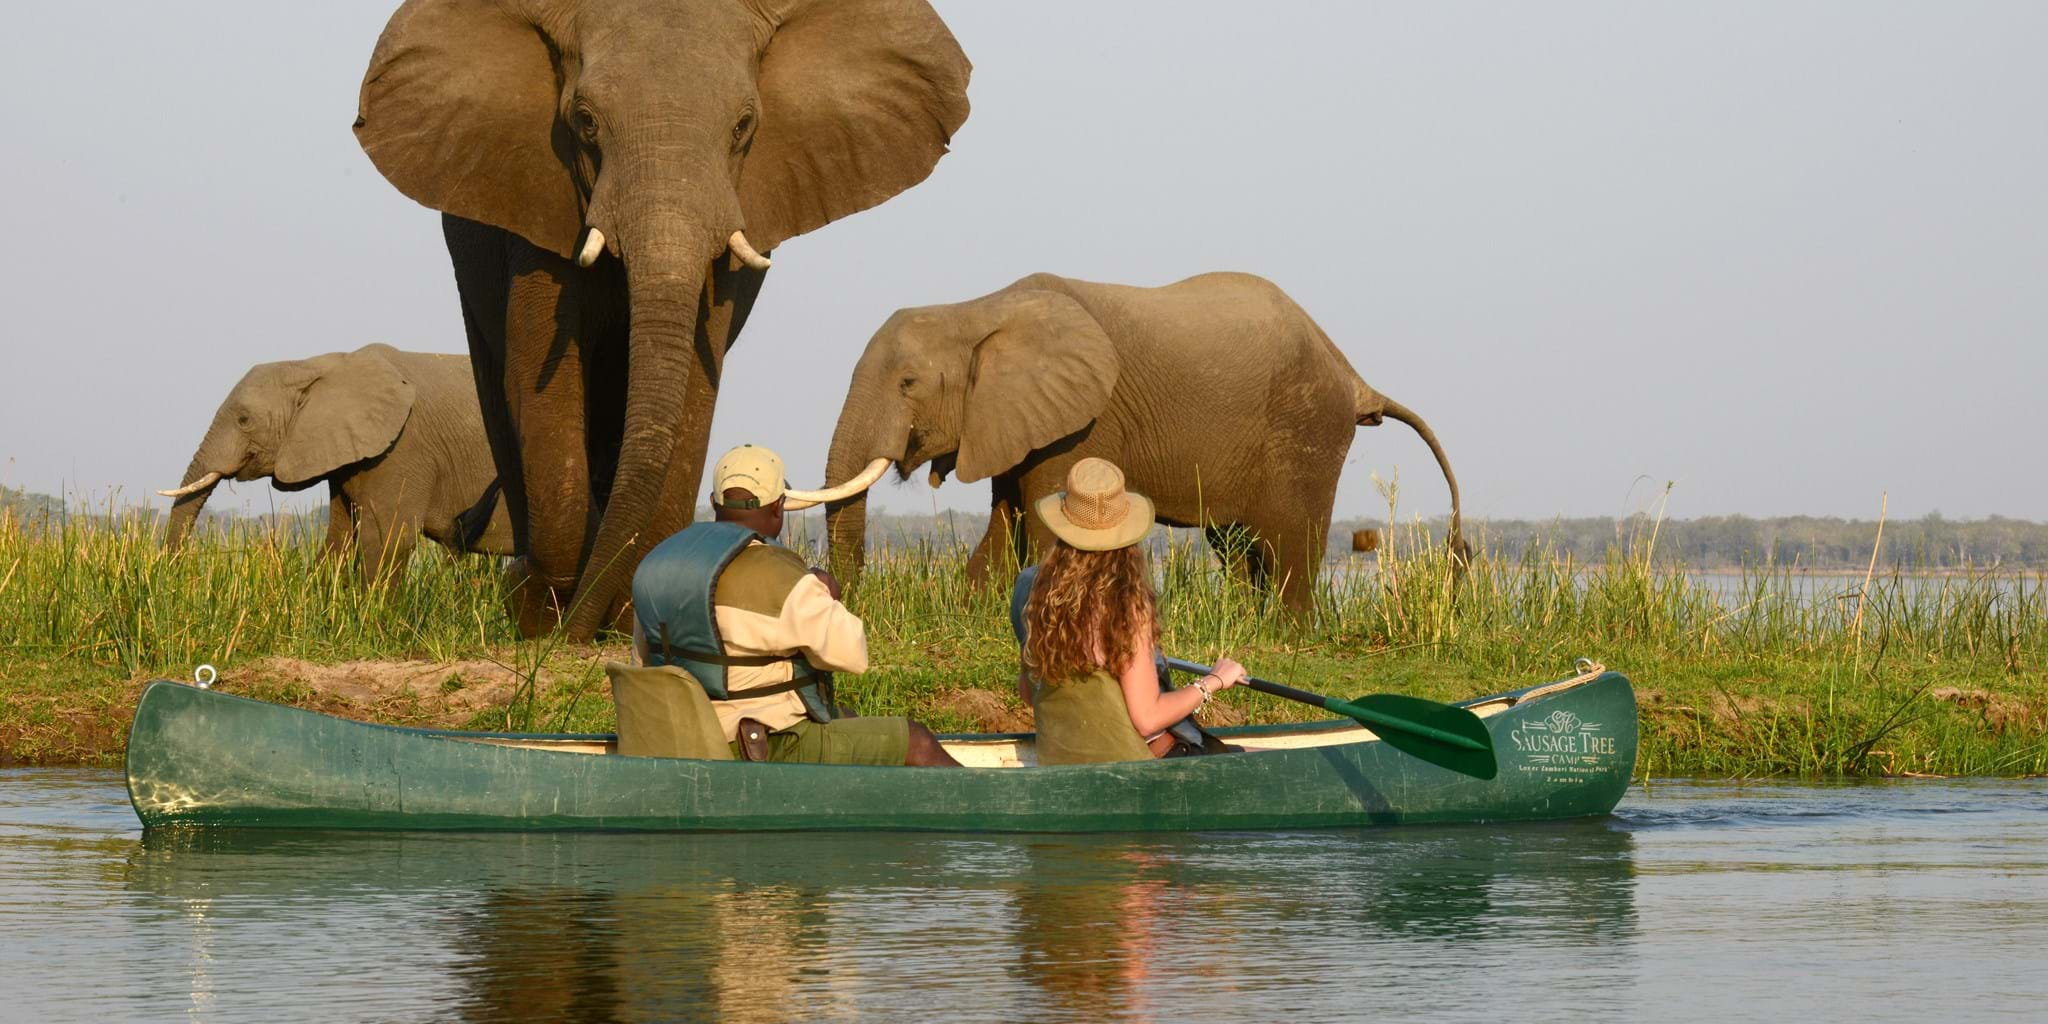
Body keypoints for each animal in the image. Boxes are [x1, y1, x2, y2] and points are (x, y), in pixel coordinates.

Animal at [160, 346, 512, 581]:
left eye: (244, 420)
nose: (177, 577)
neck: (317, 366)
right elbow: (339, 539)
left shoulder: (403, 447)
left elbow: (387, 539)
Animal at [354, 0, 974, 638]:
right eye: (584, 122)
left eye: (744, 126)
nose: (575, 630)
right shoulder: (536, 194)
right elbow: (540, 372)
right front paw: (540, 615)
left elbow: (696, 383)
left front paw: (634, 613)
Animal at [806, 268, 1466, 614]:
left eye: (908, 383)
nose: (846, 601)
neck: (977, 309)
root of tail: (1354, 377)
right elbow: (1005, 525)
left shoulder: (1082, 422)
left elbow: (1041, 524)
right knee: (1238, 544)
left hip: (1306, 428)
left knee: (1287, 544)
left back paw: (1287, 636)